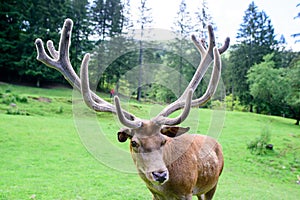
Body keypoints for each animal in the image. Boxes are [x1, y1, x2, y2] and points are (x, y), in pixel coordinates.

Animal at [34, 18, 230, 200]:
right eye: (134, 142)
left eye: (163, 141)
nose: (160, 174)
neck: (169, 188)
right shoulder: (155, 194)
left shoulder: (187, 191)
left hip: (213, 184)